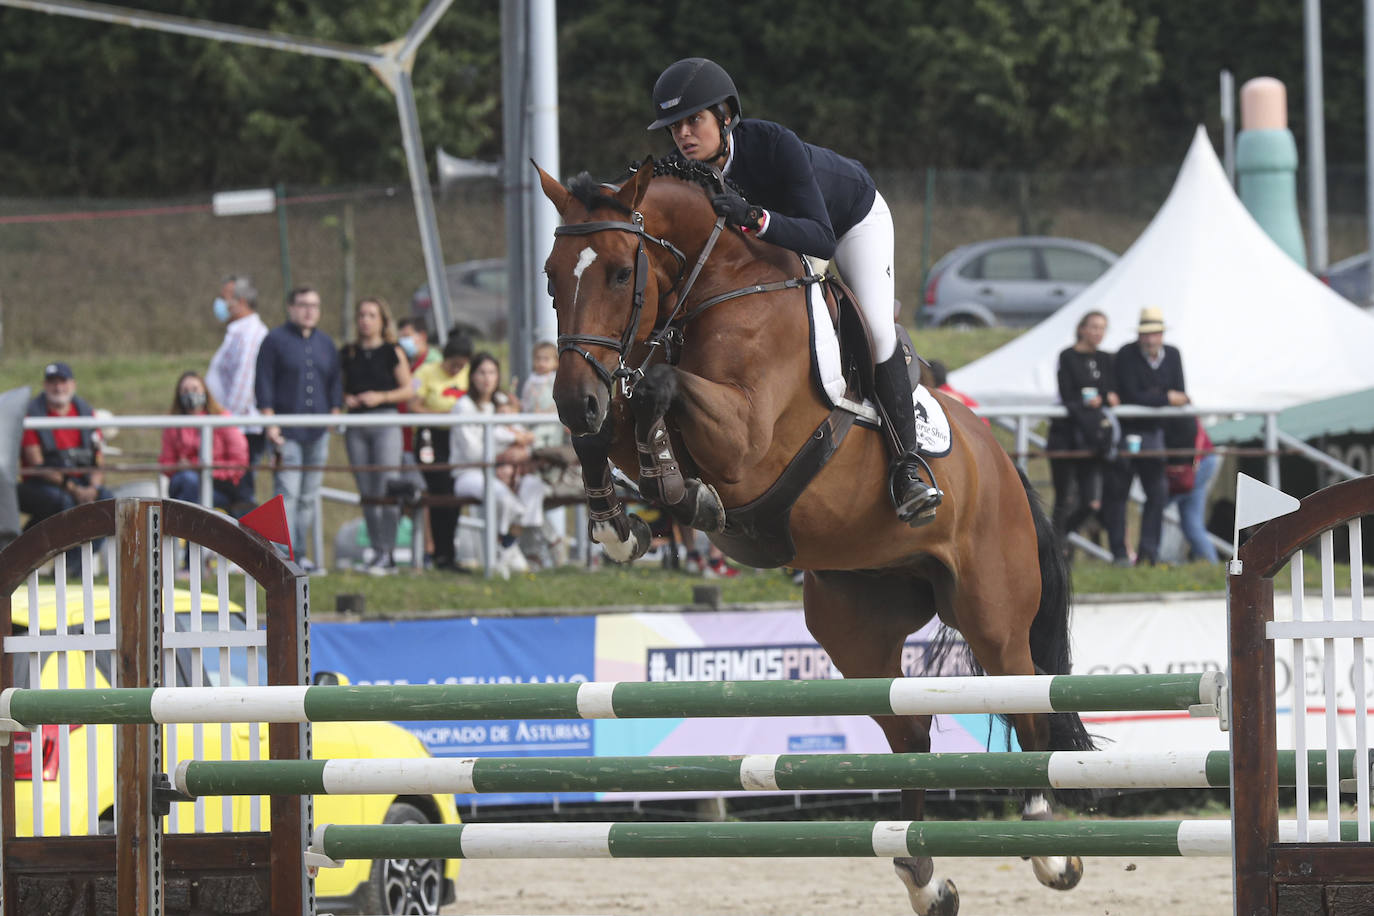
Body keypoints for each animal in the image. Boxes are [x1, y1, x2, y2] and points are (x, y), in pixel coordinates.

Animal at [535, 156, 1094, 916]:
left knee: (1028, 704)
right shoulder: (621, 402)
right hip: (855, 621)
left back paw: (1048, 847)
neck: (709, 286)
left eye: (622, 274)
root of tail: (1004, 463)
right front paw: (617, 520)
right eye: (550, 275)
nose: (569, 398)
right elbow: (615, 421)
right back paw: (926, 878)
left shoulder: (746, 440)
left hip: (993, 614)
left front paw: (680, 490)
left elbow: (658, 387)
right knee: (908, 730)